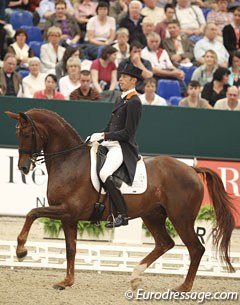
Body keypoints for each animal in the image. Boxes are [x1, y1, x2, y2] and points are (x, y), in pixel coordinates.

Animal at [4, 108, 235, 290]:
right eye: (17, 133)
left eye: (27, 133)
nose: (23, 168)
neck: (69, 161)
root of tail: (192, 169)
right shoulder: (69, 217)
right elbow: (71, 249)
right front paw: (66, 282)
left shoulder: (67, 210)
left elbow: (32, 213)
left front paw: (21, 251)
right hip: (153, 215)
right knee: (165, 243)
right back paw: (135, 276)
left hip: (181, 218)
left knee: (196, 249)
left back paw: (183, 287)